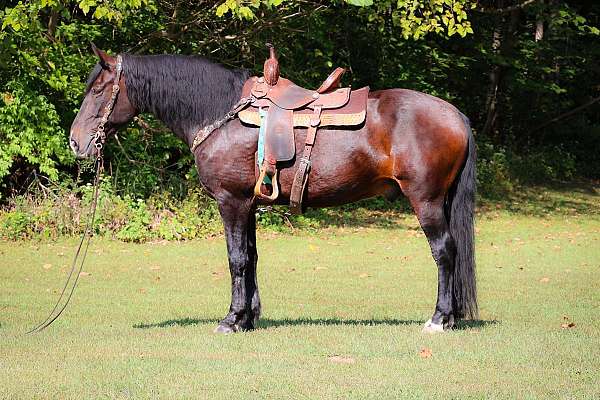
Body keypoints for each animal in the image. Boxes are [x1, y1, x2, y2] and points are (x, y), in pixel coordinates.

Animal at [68, 46, 476, 334]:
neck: (220, 114)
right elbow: (250, 257)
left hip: (425, 201)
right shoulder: (248, 204)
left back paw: (439, 319)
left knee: (444, 252)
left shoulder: (230, 201)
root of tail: (456, 114)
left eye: (99, 89)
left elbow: (235, 259)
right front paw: (248, 318)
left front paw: (231, 319)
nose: (75, 142)